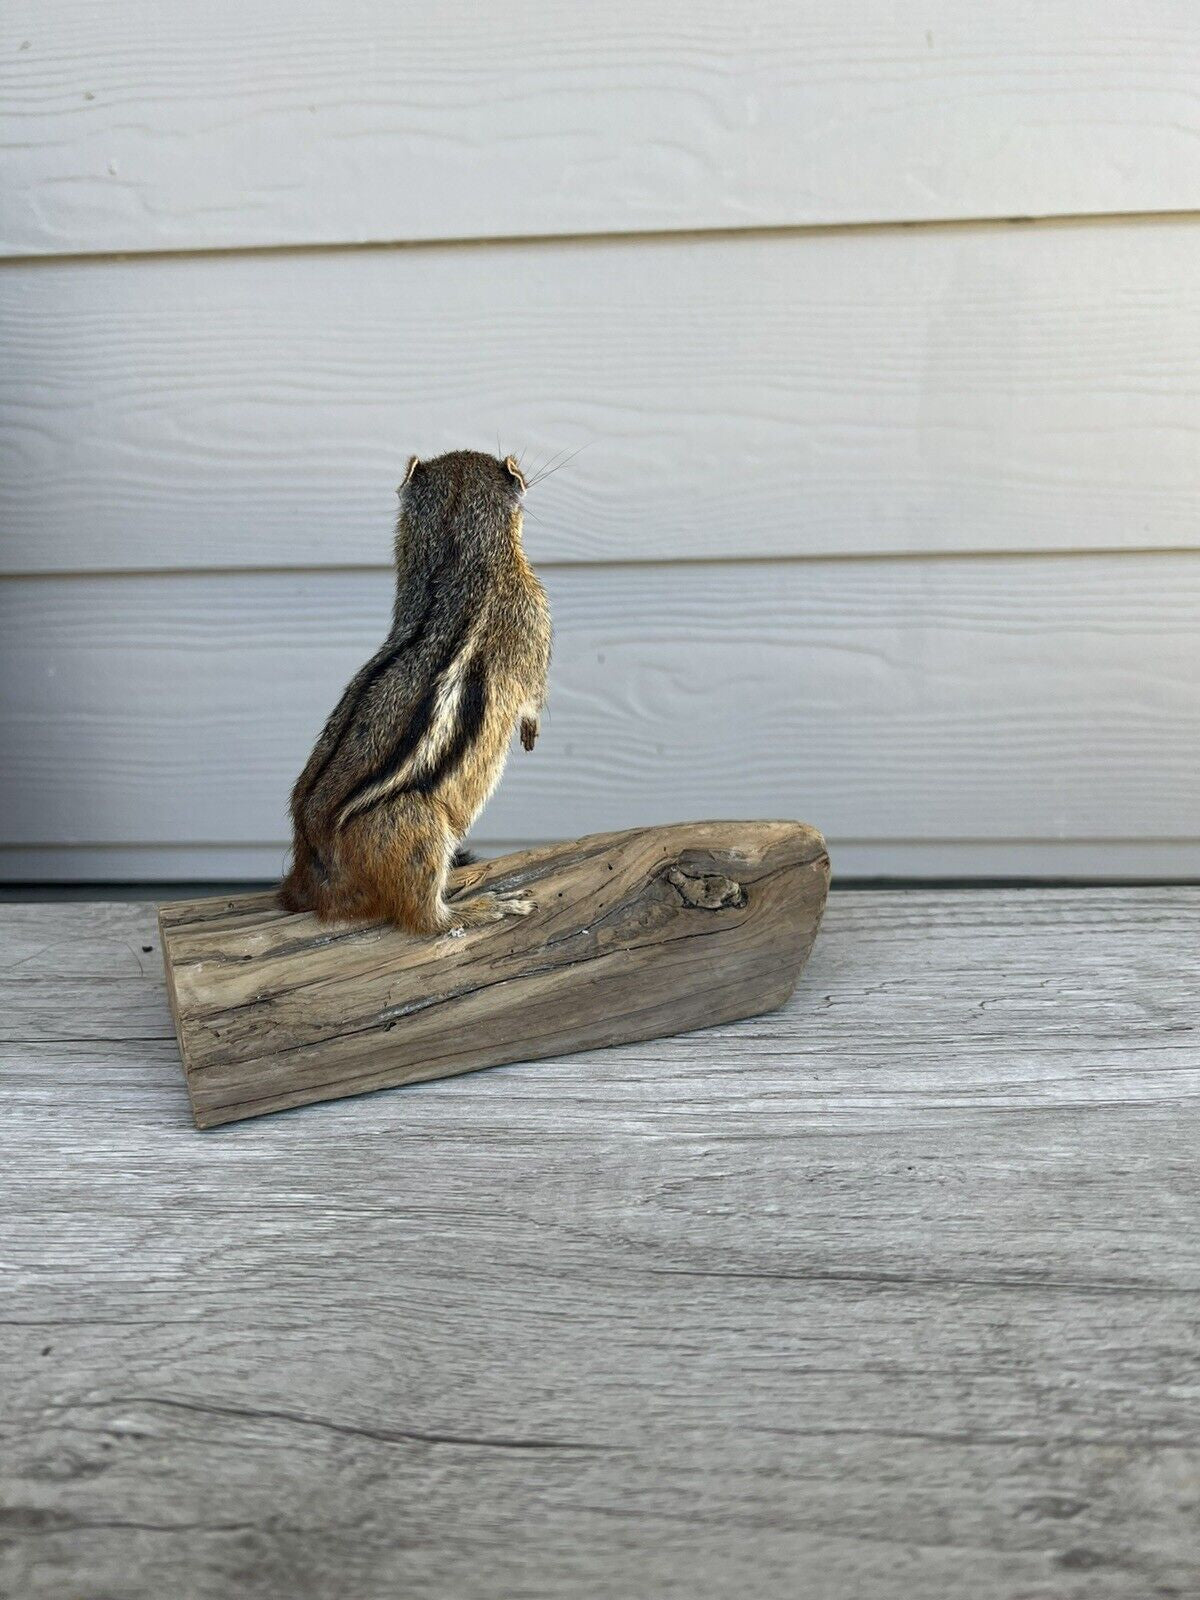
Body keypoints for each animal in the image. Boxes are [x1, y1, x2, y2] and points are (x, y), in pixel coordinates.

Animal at [280, 449, 551, 935]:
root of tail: (313, 875)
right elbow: (534, 695)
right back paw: (481, 908)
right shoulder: (532, 622)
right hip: (417, 826)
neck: (455, 551)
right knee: (424, 917)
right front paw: (531, 731)